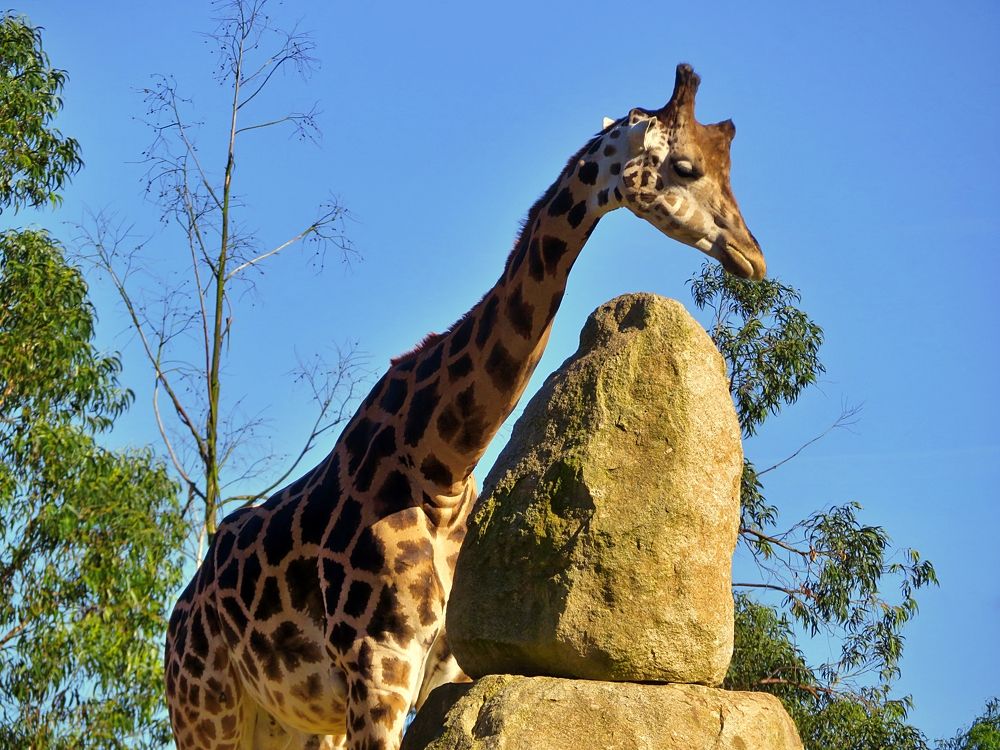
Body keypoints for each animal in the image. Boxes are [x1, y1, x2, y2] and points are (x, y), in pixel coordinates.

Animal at [164, 63, 766, 750]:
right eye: (687, 166)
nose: (754, 255)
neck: (440, 465)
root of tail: (176, 621)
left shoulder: (442, 668)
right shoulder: (377, 666)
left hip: (293, 723)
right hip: (207, 711)